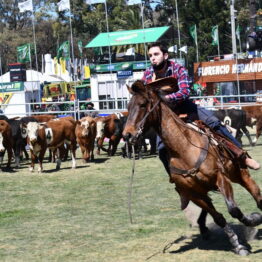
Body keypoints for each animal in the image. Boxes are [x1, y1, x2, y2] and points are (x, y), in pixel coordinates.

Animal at [123, 78, 262, 256]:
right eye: (128, 107)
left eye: (142, 104)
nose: (127, 135)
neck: (184, 149)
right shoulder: (193, 193)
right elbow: (218, 217)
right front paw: (237, 245)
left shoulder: (221, 178)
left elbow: (234, 210)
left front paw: (253, 220)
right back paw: (203, 228)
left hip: (239, 173)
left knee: (257, 194)